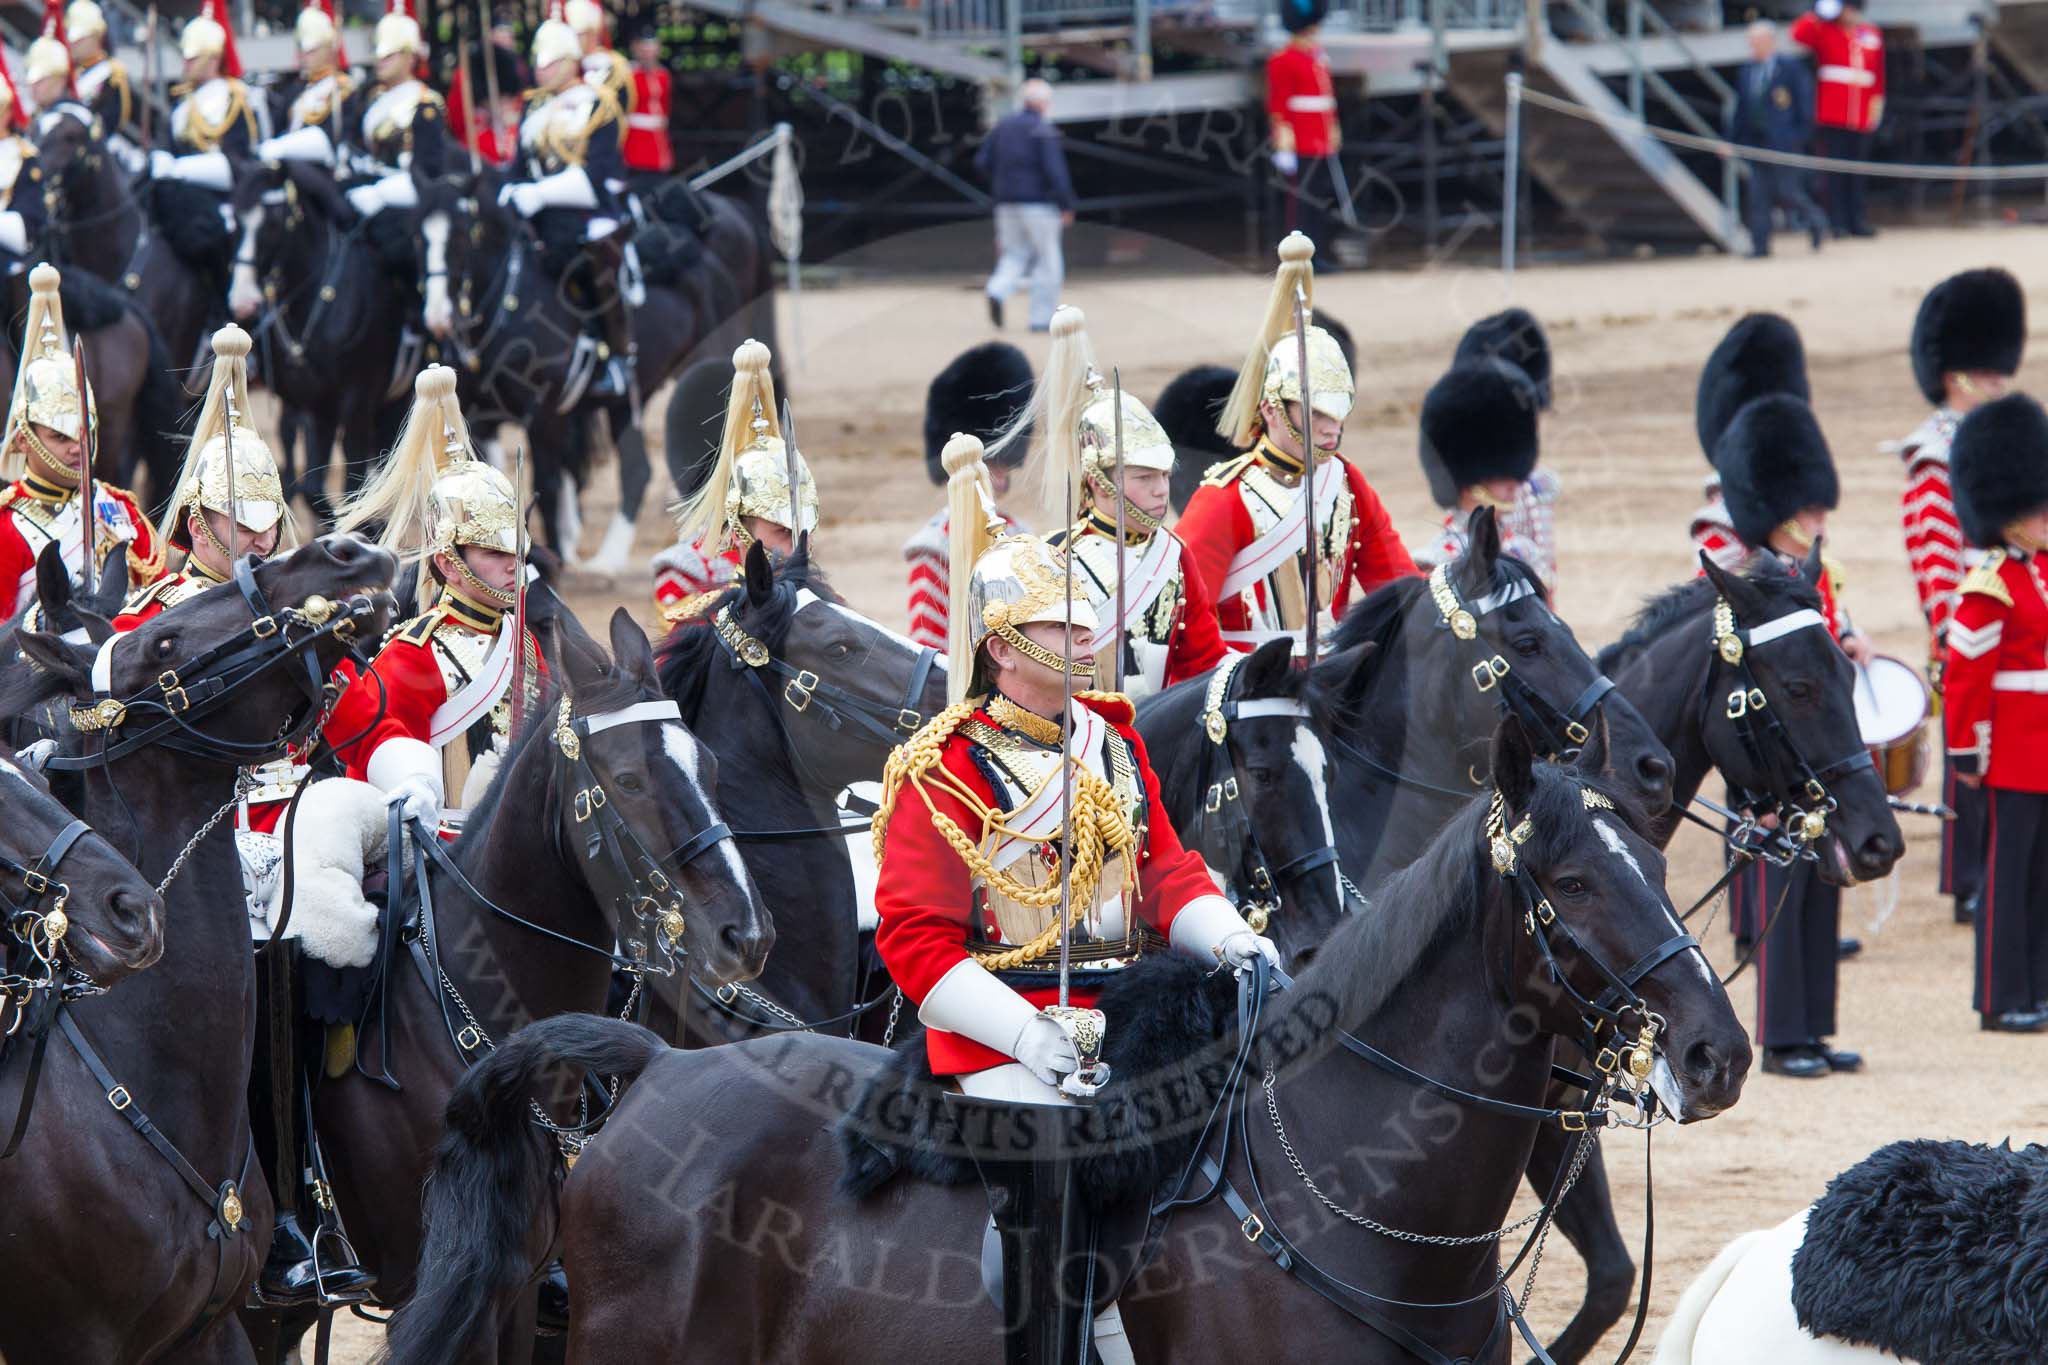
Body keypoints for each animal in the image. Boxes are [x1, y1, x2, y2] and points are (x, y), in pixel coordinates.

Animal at [229, 157, 411, 527]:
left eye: (273, 223)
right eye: (236, 219)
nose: (242, 300)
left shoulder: (356, 399)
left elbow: (355, 485)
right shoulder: (314, 406)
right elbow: (313, 490)